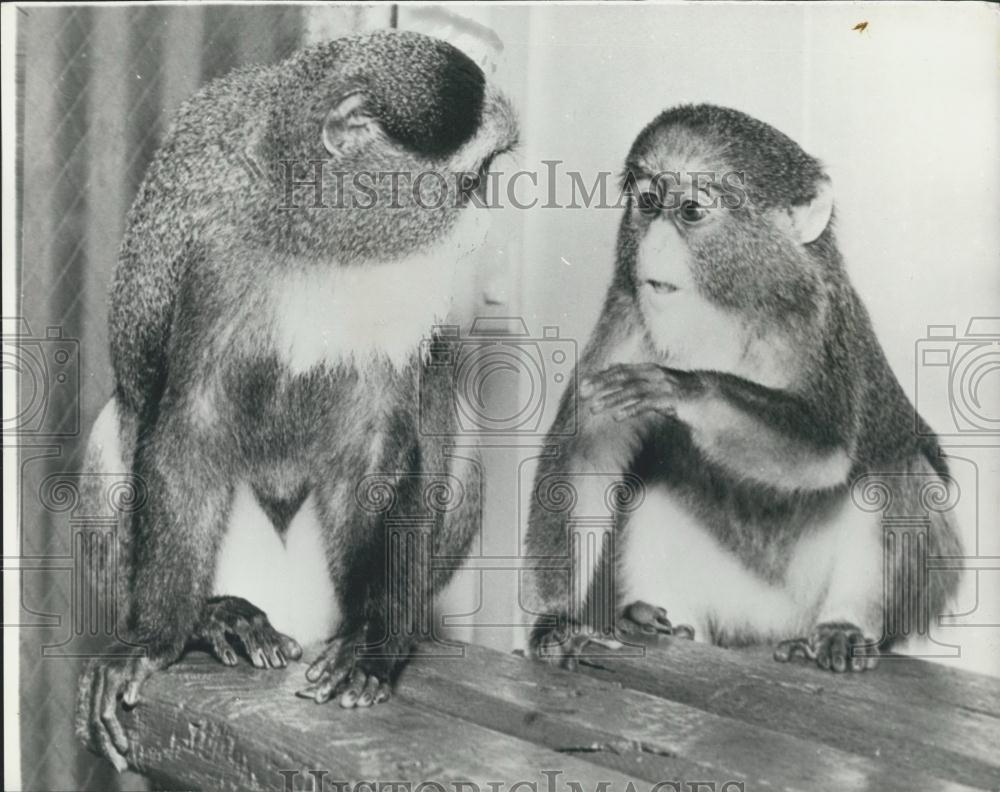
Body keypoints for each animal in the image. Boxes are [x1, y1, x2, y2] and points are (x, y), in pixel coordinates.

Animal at [79, 30, 517, 771]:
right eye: (472, 181)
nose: (485, 232)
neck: (323, 241)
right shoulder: (218, 256)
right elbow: (189, 426)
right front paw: (156, 637)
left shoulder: (409, 285)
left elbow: (381, 442)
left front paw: (375, 640)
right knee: (115, 430)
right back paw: (215, 617)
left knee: (452, 436)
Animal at [525, 103, 962, 674]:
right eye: (648, 202)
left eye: (690, 210)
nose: (653, 248)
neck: (725, 313)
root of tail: (770, 624)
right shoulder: (628, 312)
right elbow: (587, 448)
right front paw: (555, 622)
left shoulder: (817, 316)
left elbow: (827, 448)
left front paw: (683, 388)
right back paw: (652, 614)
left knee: (897, 470)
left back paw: (845, 625)